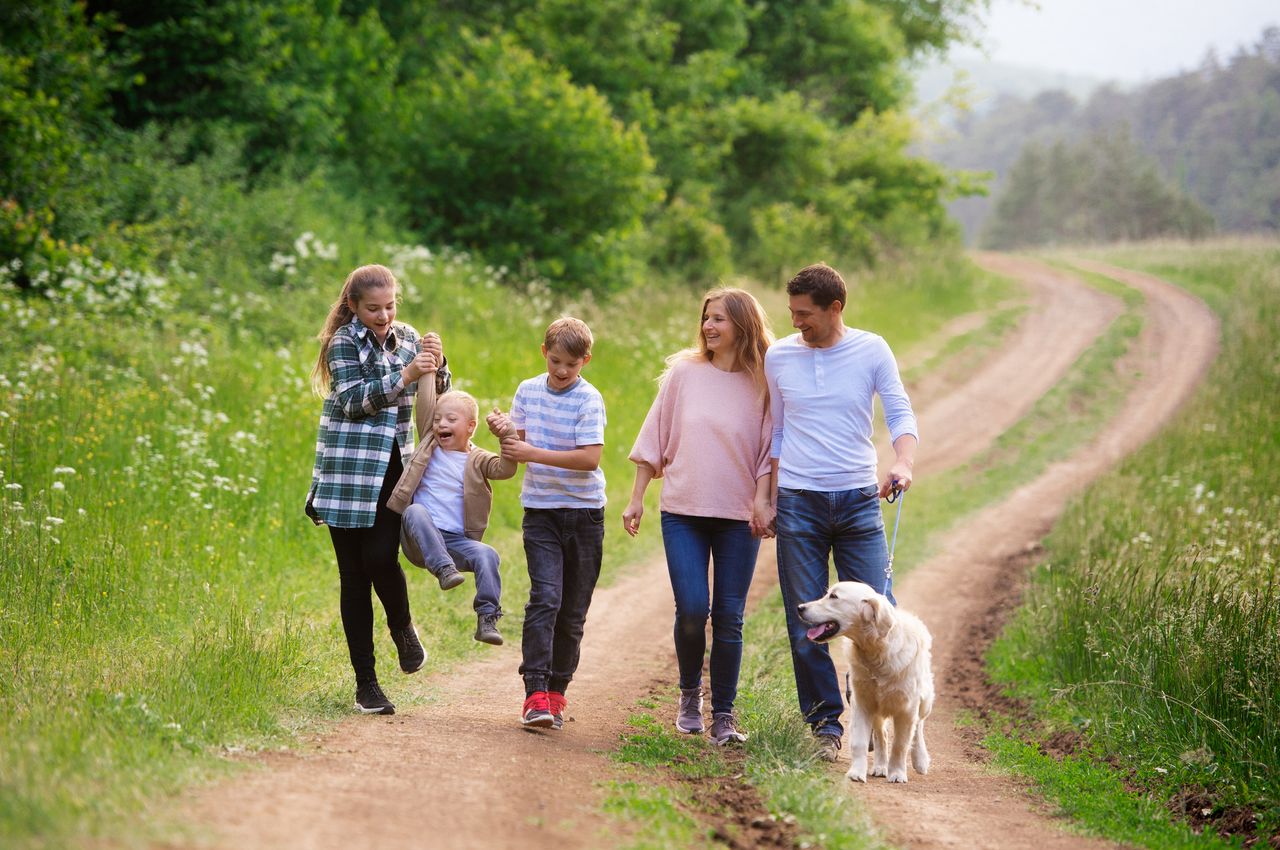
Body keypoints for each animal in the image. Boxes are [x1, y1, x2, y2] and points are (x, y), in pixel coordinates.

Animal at [798, 581, 931, 778]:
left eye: (834, 597)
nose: (800, 608)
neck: (876, 650)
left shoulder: (907, 708)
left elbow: (900, 745)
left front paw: (897, 774)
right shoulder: (862, 702)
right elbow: (859, 742)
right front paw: (856, 773)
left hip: (925, 700)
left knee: (918, 727)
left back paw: (920, 760)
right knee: (881, 735)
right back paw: (880, 767)